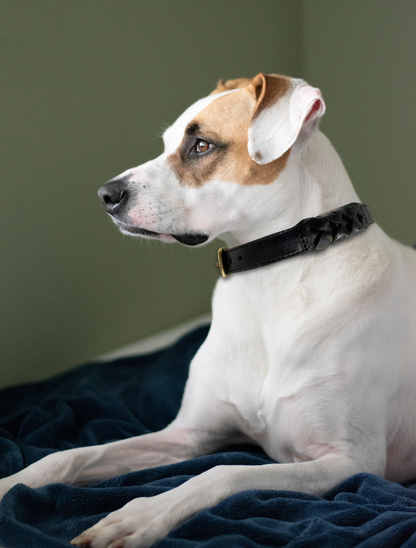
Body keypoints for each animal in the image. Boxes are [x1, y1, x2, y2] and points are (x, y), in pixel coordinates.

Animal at [0, 74, 416, 548]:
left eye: (201, 145)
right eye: (167, 142)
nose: (106, 194)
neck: (269, 283)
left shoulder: (350, 462)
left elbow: (223, 472)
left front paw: (139, 516)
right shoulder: (186, 435)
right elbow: (73, 456)